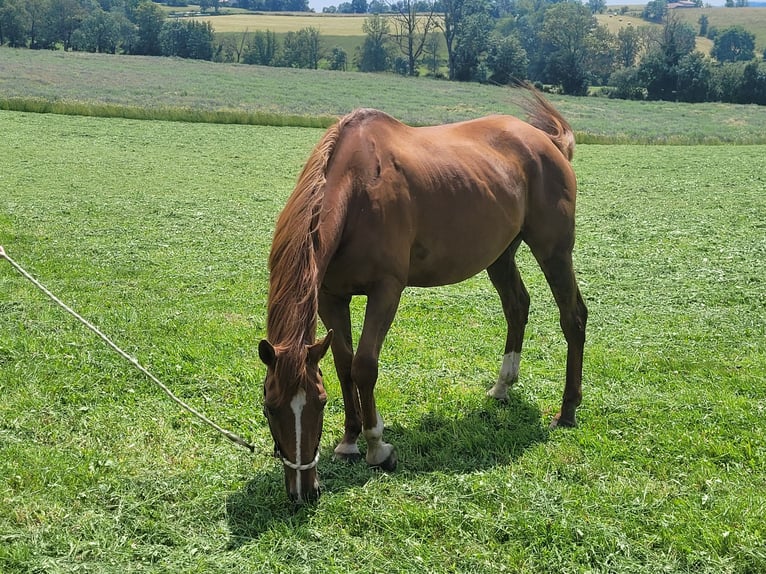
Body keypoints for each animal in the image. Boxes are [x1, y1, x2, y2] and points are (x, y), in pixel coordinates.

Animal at [258, 85, 588, 504]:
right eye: (270, 407)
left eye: (318, 403)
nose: (303, 492)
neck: (359, 190)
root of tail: (548, 143)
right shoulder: (332, 297)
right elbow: (344, 365)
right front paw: (349, 440)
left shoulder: (386, 291)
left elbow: (364, 365)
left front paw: (377, 447)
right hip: (499, 255)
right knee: (517, 307)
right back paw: (502, 387)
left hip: (553, 251)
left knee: (573, 317)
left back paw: (568, 410)